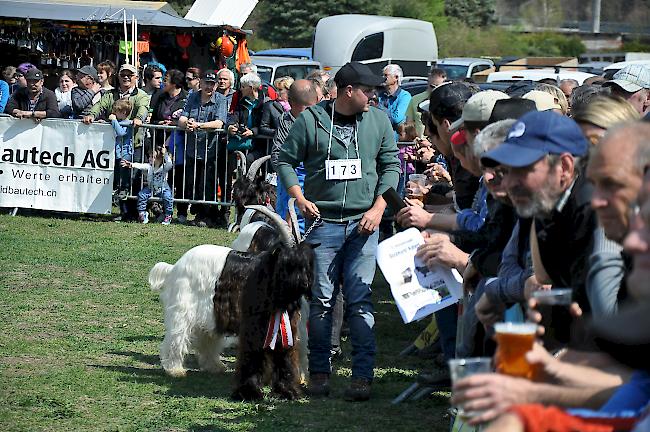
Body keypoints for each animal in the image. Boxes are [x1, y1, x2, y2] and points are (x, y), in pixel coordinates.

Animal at [147, 208, 314, 400]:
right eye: (286, 264)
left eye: (304, 264)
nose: (303, 284)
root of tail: (176, 267)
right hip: (184, 310)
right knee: (177, 336)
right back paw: (175, 369)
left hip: (211, 313)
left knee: (206, 338)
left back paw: (215, 366)